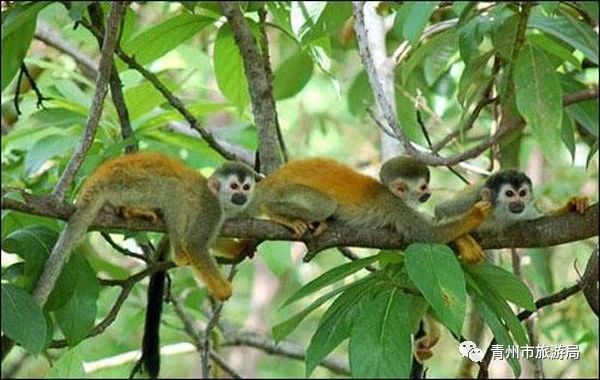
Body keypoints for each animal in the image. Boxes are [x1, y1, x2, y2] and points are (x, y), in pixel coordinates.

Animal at [32, 151, 258, 306]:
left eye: (246, 187)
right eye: (234, 187)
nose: (241, 196)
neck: (219, 200)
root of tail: (98, 179)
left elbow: (212, 240)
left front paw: (240, 248)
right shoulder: (211, 209)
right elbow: (195, 244)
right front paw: (222, 290)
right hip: (130, 184)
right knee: (174, 189)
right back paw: (176, 251)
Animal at [248, 156, 492, 245]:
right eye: (423, 187)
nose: (428, 194)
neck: (389, 192)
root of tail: (268, 181)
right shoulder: (395, 206)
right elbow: (427, 235)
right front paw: (477, 214)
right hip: (285, 190)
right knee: (326, 206)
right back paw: (274, 211)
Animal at [434, 170, 588, 264]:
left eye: (522, 193)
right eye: (509, 194)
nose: (518, 202)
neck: (497, 213)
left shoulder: (525, 211)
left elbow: (543, 219)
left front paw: (572, 205)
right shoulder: (474, 201)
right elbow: (441, 210)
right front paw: (466, 242)